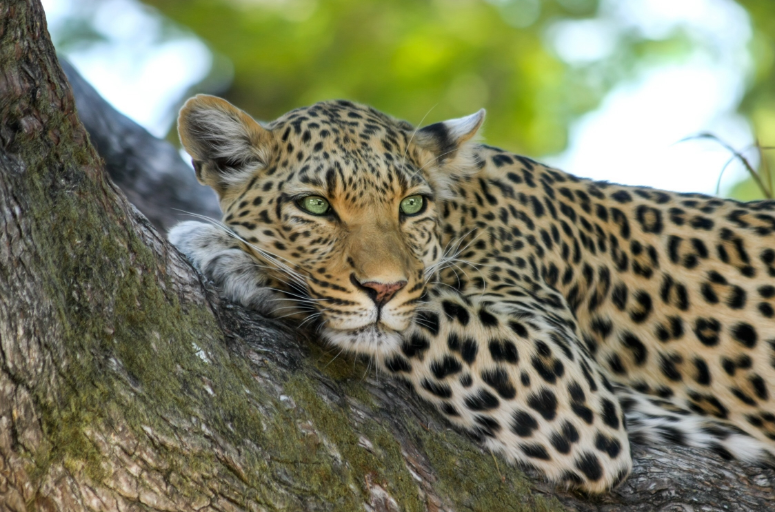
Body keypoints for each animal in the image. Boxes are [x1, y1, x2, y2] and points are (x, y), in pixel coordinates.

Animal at [168, 94, 775, 493]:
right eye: (315, 206)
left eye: (411, 204)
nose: (383, 287)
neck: (463, 213)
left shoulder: (571, 384)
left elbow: (427, 309)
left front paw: (229, 251)